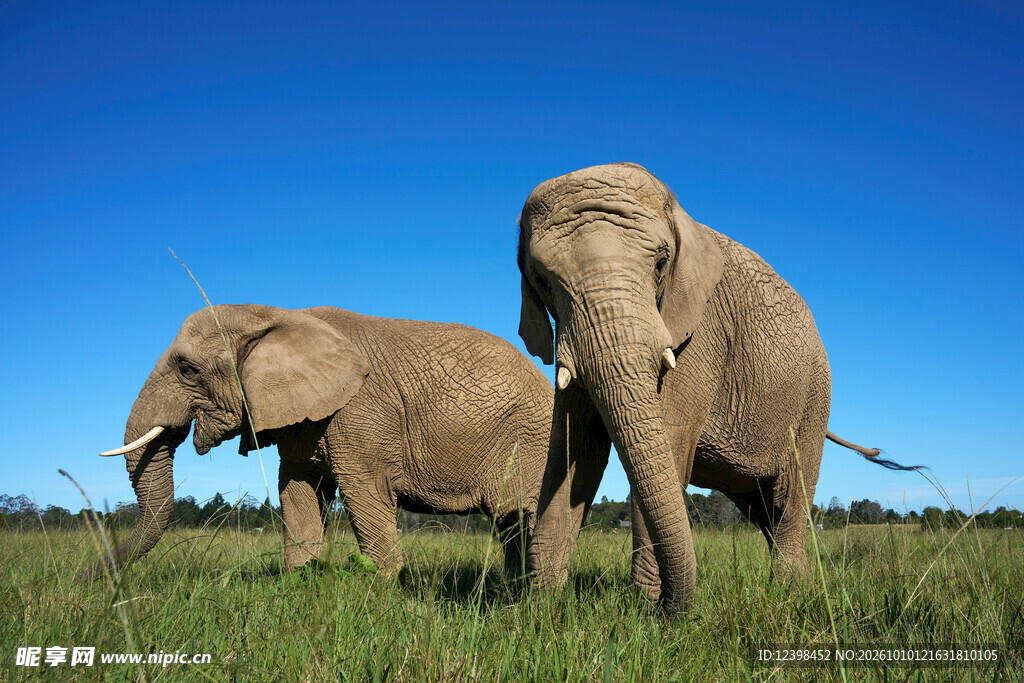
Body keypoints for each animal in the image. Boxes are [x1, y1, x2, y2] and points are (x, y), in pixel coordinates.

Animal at [93, 304, 553, 578]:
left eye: (187, 370)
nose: (89, 581)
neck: (272, 314)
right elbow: (297, 492)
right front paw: (301, 582)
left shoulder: (362, 411)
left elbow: (366, 494)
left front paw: (384, 594)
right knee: (510, 524)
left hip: (533, 440)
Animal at [516, 162, 919, 612]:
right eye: (541, 281)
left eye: (661, 264)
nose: (668, 606)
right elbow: (575, 450)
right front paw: (542, 610)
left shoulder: (701, 332)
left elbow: (668, 446)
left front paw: (648, 616)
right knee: (765, 511)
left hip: (815, 393)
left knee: (790, 500)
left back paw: (790, 595)